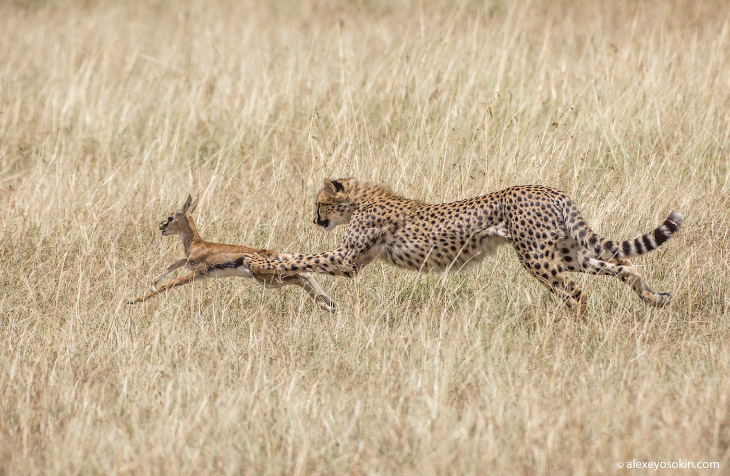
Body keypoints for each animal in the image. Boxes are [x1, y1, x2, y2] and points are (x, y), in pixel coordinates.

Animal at [246, 178, 684, 316]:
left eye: (319, 204)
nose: (314, 219)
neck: (362, 200)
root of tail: (550, 189)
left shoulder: (345, 259)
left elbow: (301, 257)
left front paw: (263, 263)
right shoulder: (353, 260)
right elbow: (304, 258)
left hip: (537, 258)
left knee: (576, 293)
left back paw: (574, 330)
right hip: (567, 252)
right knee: (624, 267)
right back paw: (655, 298)